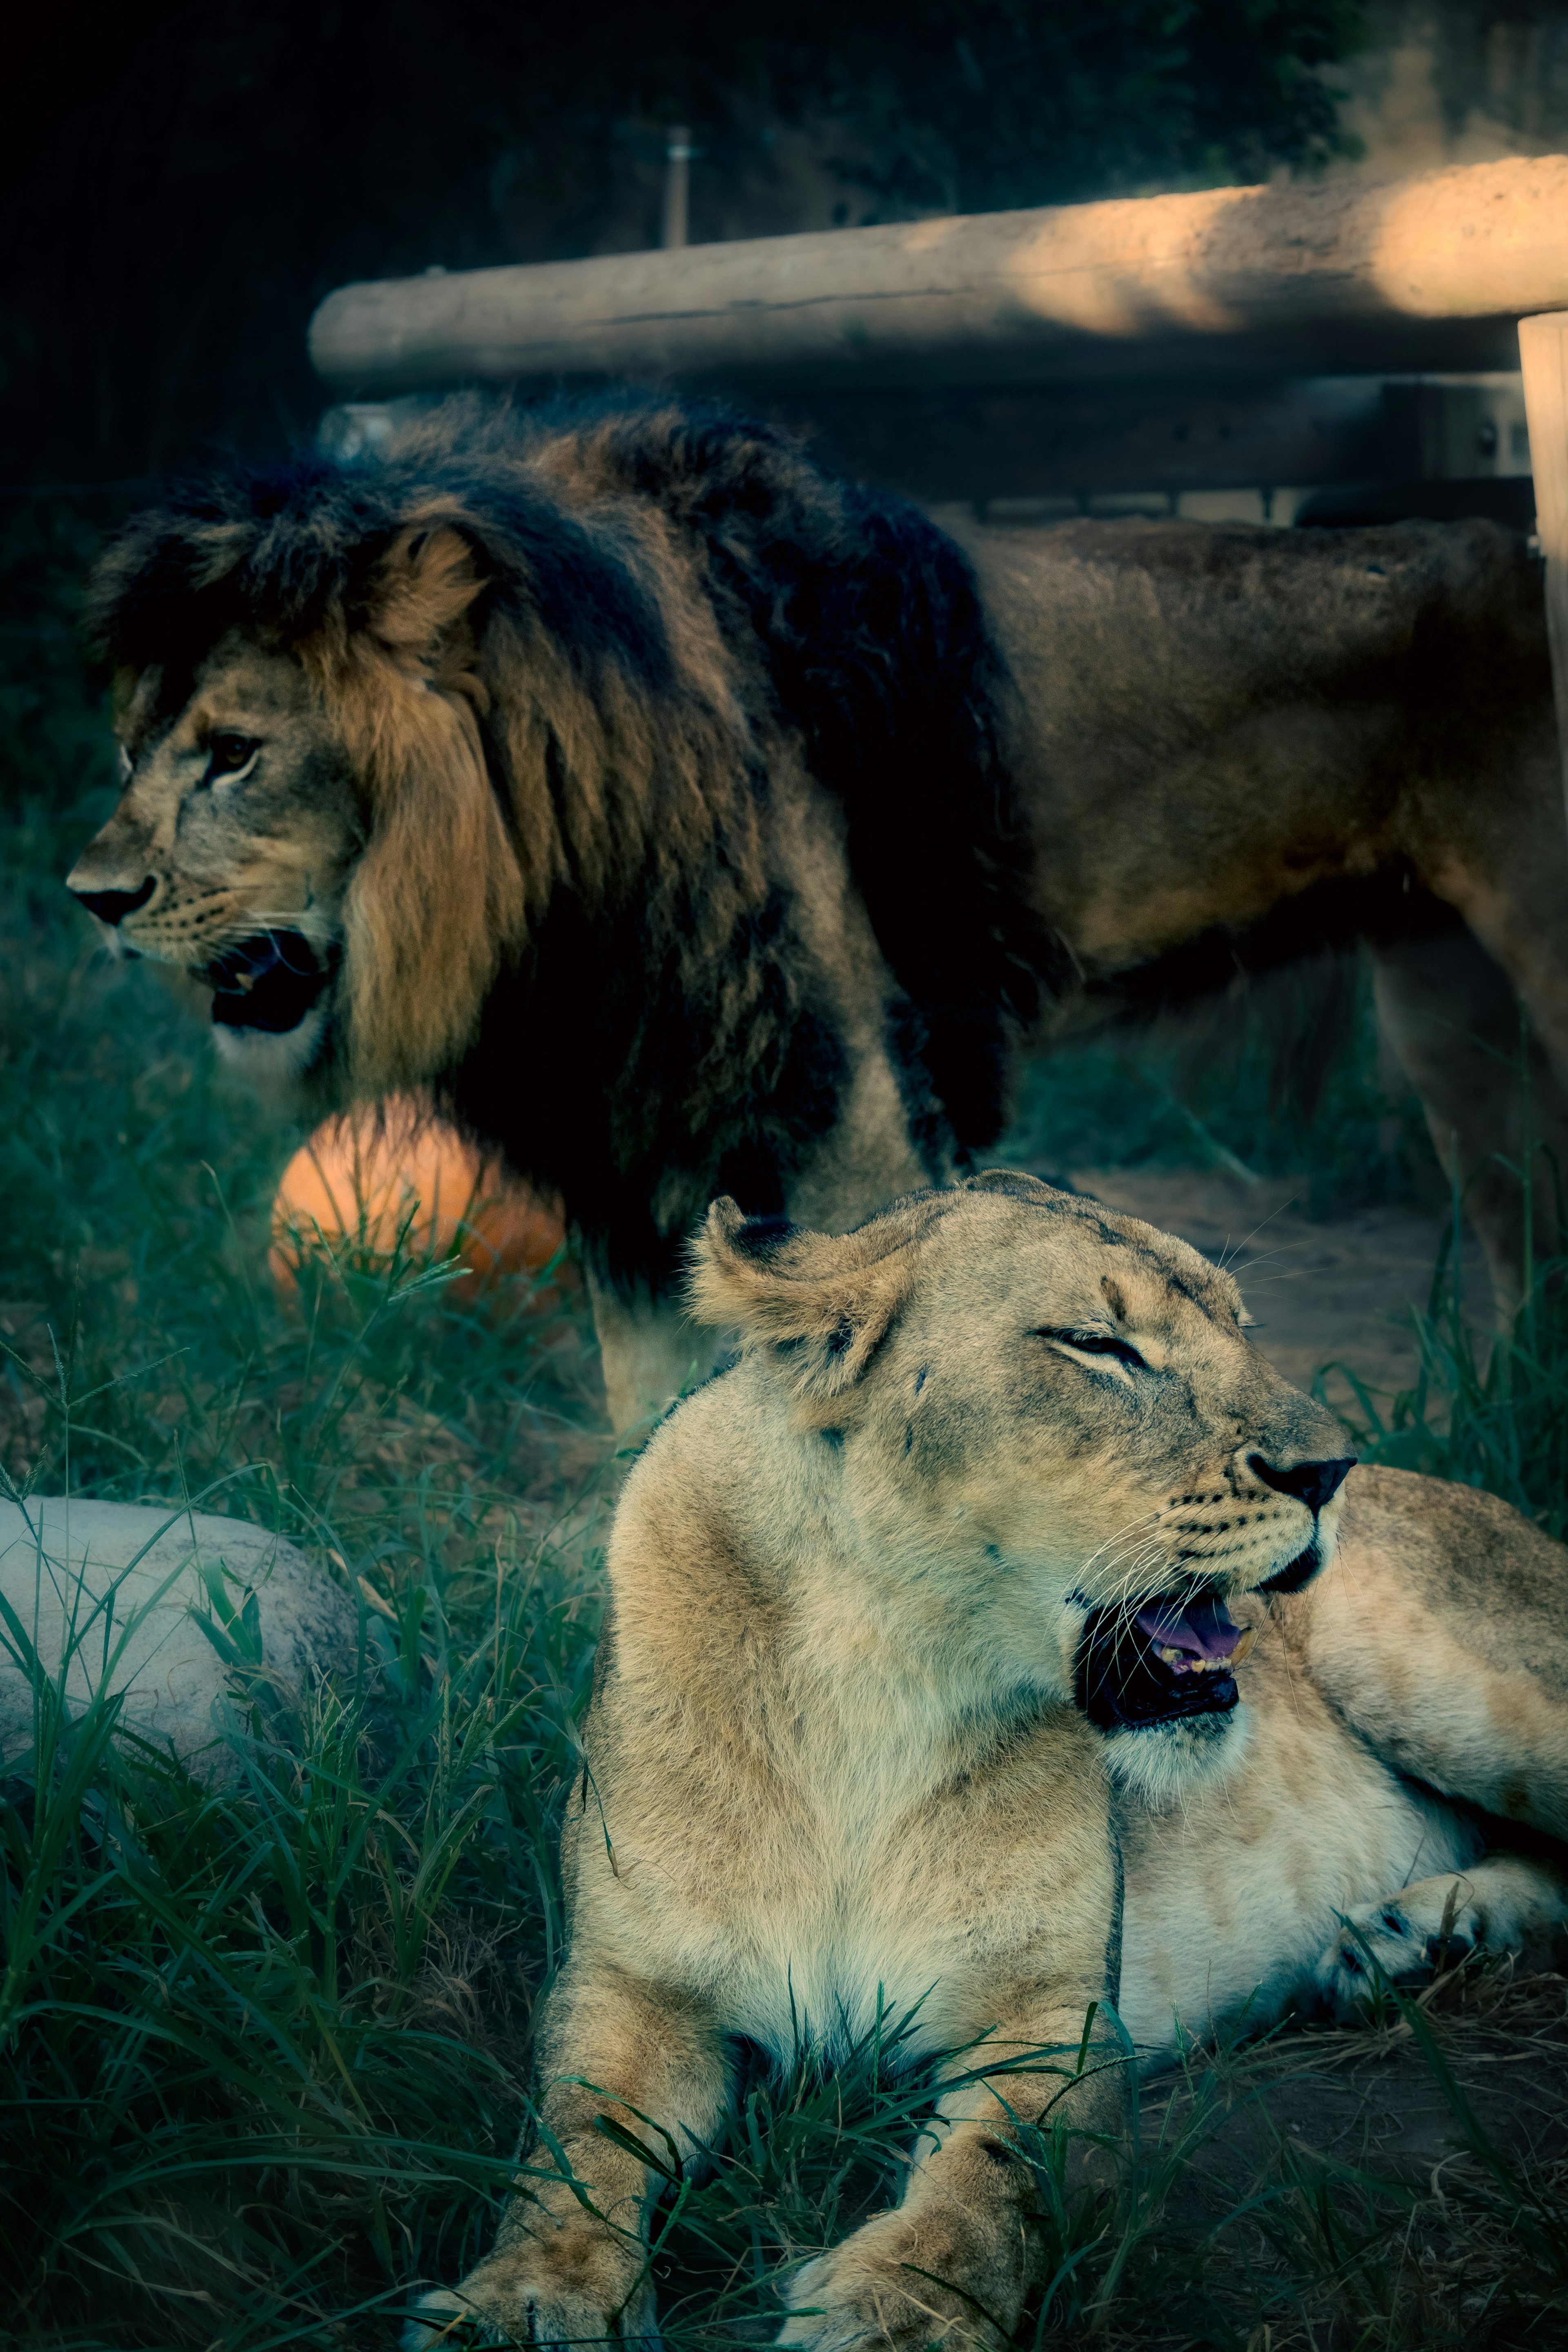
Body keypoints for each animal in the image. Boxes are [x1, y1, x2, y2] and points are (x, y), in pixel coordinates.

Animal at [67, 395, 1568, 1421]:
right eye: (130, 747)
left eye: (235, 752)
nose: (92, 897)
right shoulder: (630, 1151)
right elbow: (654, 1421)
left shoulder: (846, 1110)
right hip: (1449, 1018)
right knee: (1521, 1227)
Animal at [409, 1176, 1568, 2352]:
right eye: (1099, 1346)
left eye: (1242, 1326)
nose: (1331, 1471)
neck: (872, 1676)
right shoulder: (635, 1983)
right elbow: (573, 2143)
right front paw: (525, 2299)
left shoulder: (1058, 2014)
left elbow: (991, 2176)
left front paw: (897, 2308)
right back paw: (1415, 1936)